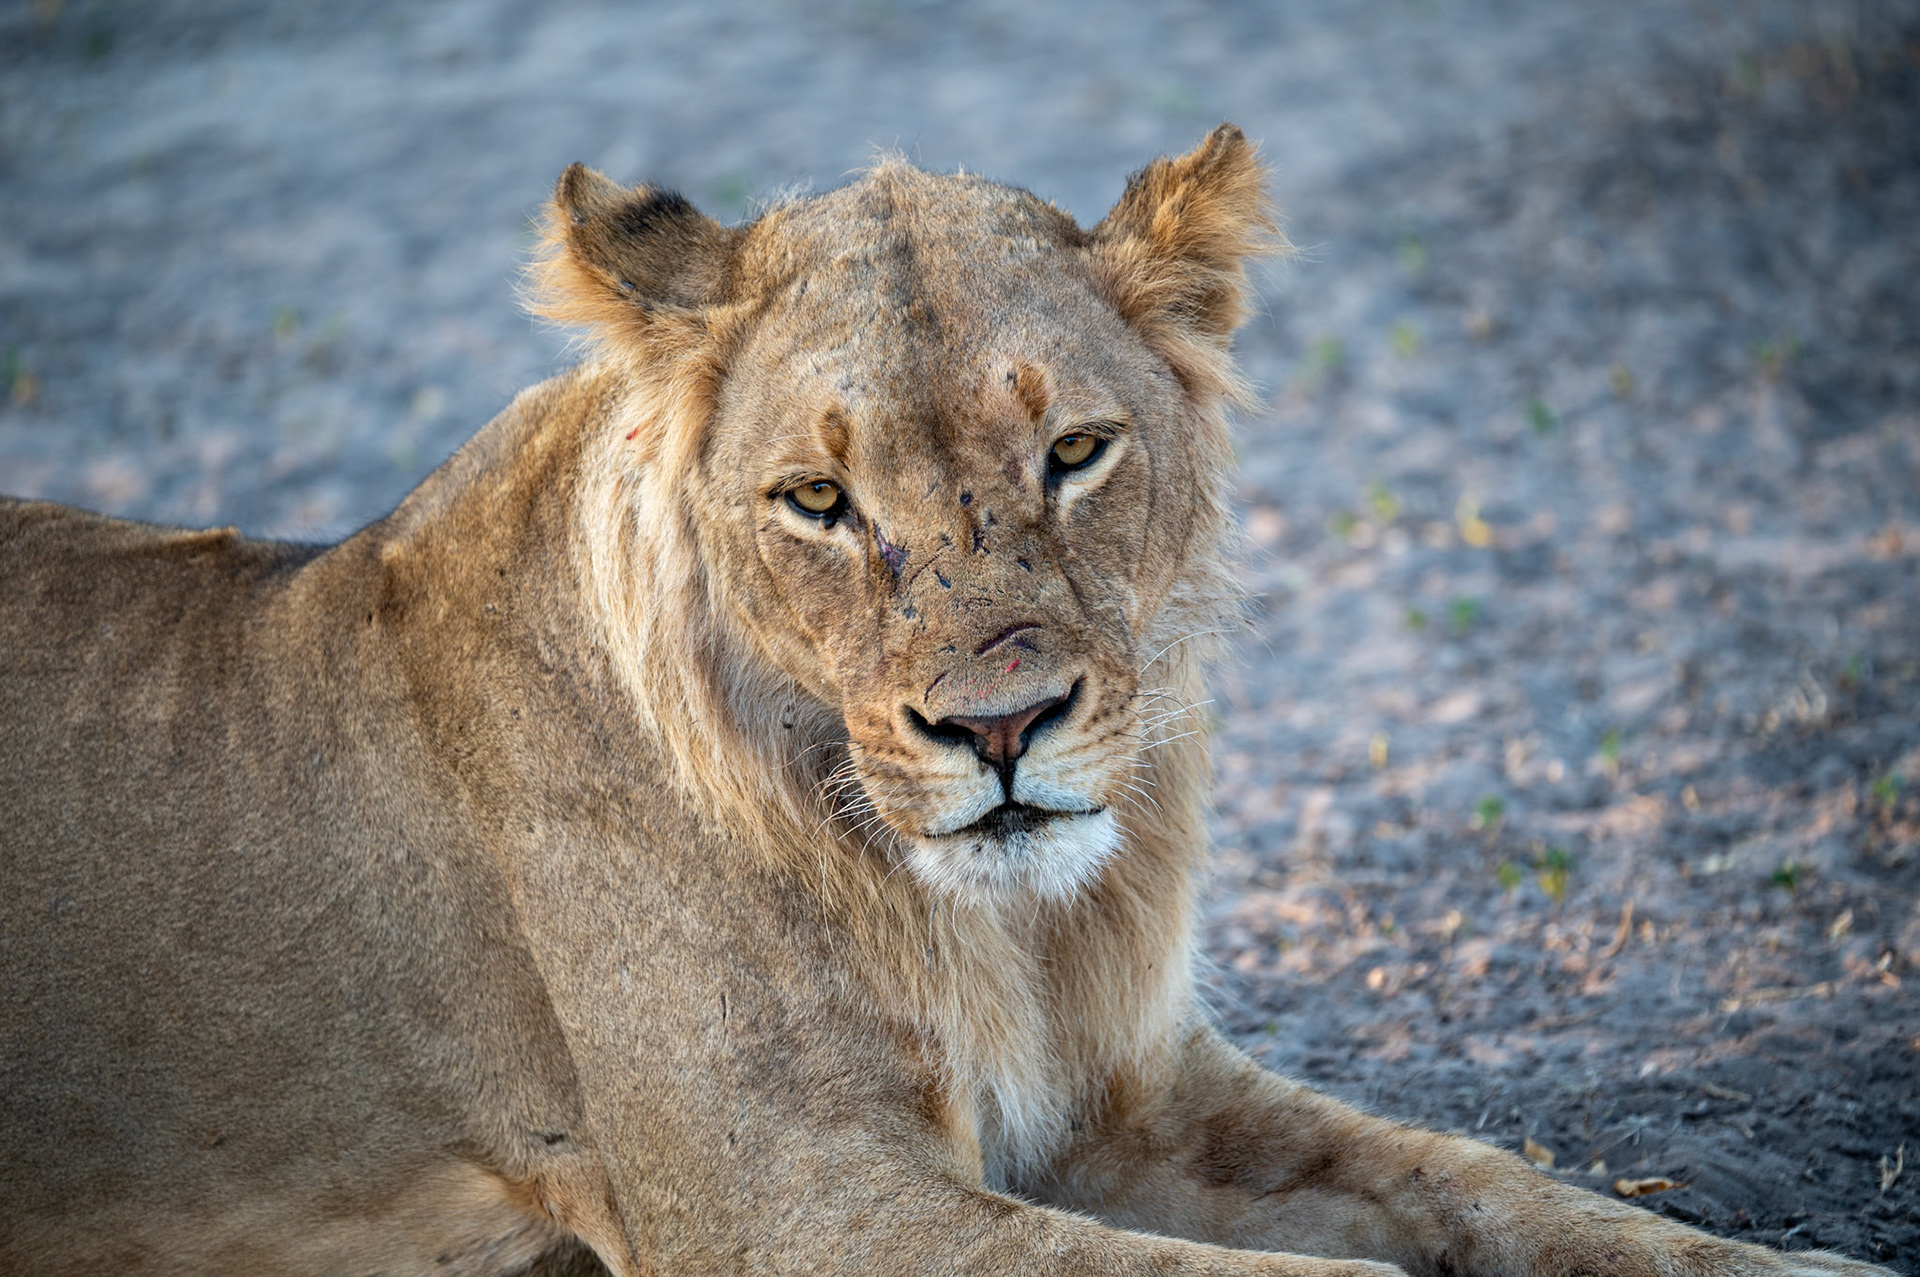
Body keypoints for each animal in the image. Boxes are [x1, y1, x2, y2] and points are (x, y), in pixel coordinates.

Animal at [0, 126, 1892, 1277]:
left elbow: (1484, 1179)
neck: (1011, 929)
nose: (999, 731)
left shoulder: (1130, 1088)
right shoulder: (782, 1200)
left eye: (1076, 453)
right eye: (816, 501)